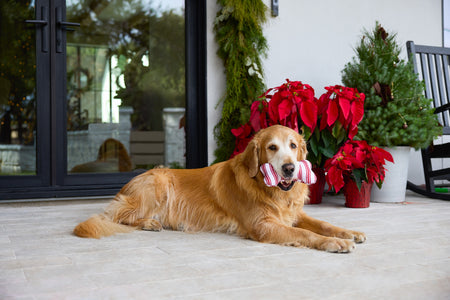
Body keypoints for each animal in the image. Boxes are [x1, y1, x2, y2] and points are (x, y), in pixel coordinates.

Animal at [74, 125, 366, 252]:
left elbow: (323, 223)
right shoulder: (263, 226)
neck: (267, 188)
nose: (289, 169)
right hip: (158, 183)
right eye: (272, 147)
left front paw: (349, 233)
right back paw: (149, 223)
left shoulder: (294, 214)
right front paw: (335, 243)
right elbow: (306, 234)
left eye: (293, 146)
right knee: (117, 216)